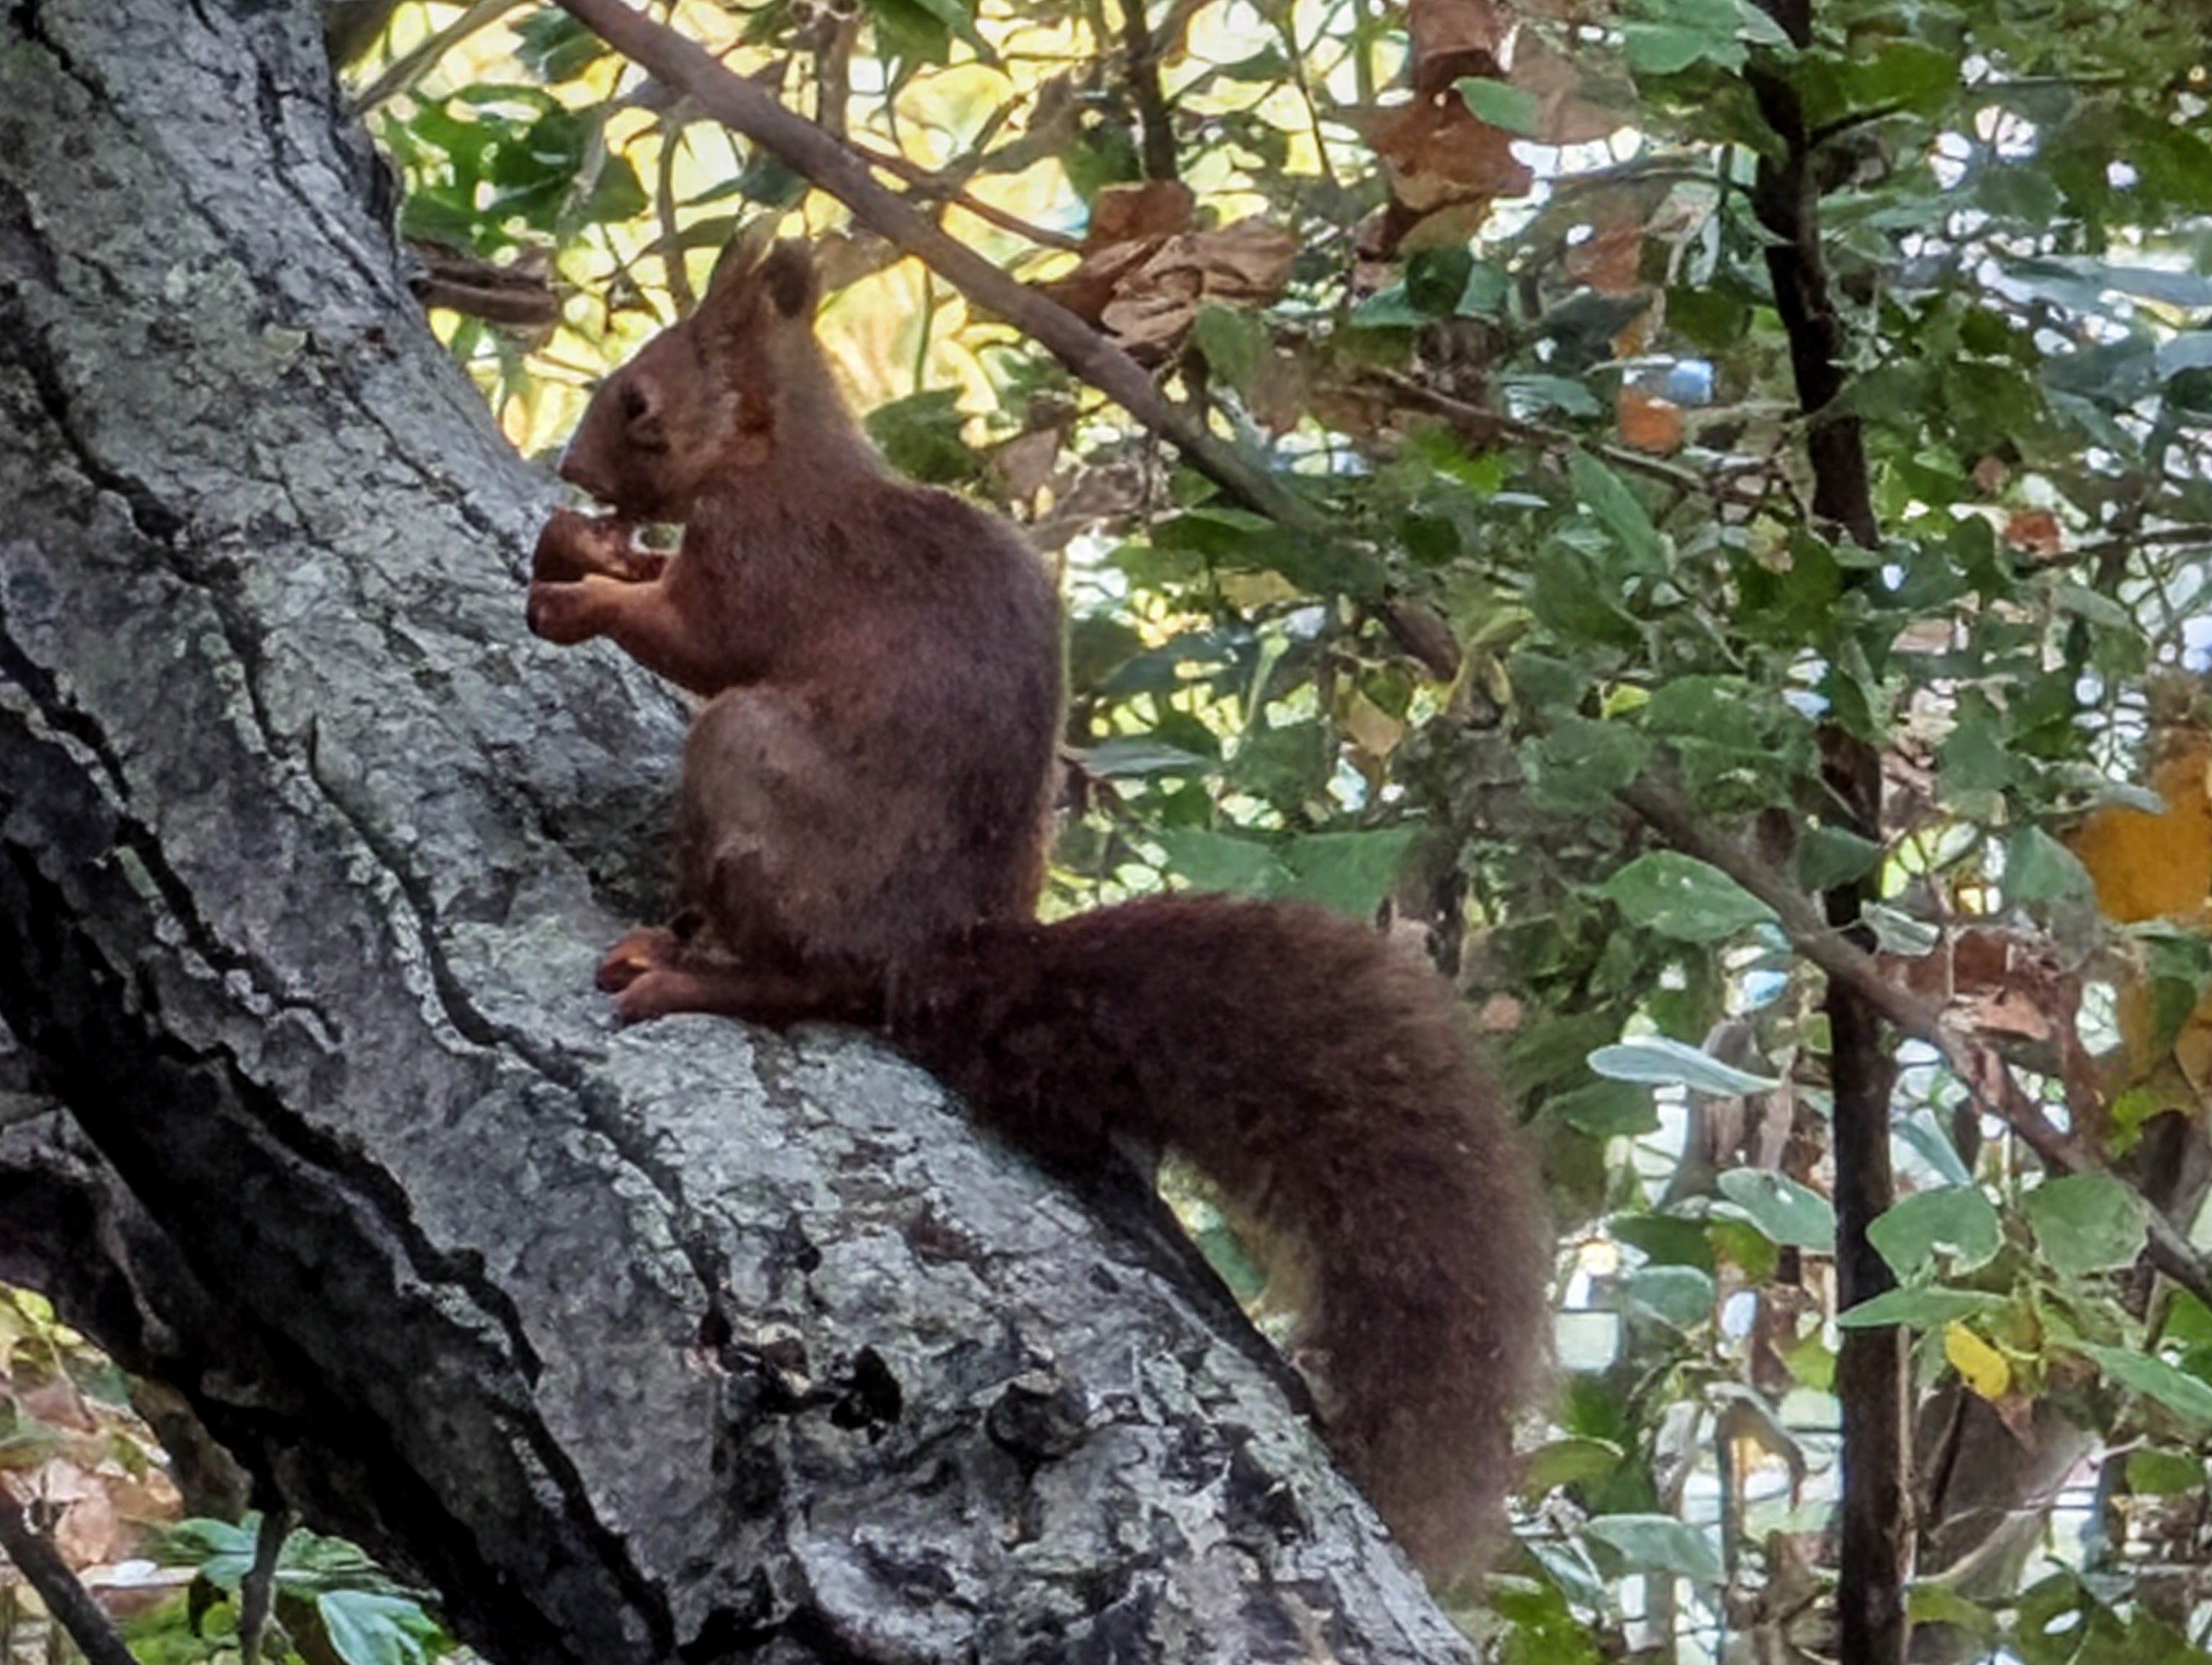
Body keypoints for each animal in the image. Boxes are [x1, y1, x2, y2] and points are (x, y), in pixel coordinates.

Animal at [526, 233, 1549, 1575]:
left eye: (640, 403)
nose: (572, 471)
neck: (784, 456)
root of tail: (936, 956)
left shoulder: (767, 557)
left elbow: (699, 639)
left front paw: (578, 592)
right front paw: (585, 548)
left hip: (751, 769)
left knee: (809, 974)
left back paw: (691, 970)